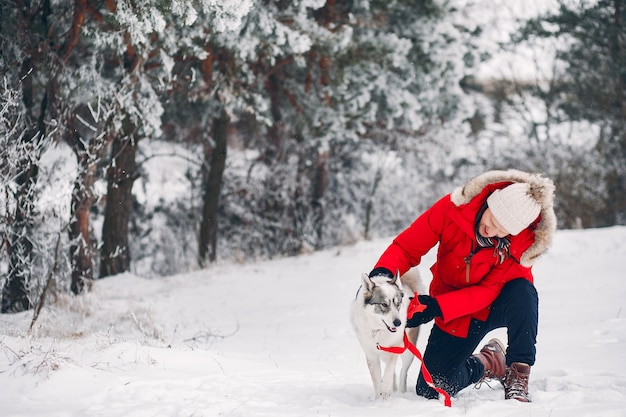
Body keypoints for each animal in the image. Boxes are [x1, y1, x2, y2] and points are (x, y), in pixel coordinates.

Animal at [348, 268, 422, 398]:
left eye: (398, 304)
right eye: (384, 304)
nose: (398, 323)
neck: (379, 330)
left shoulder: (396, 347)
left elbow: (389, 370)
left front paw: (386, 390)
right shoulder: (371, 354)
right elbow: (377, 380)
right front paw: (379, 398)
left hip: (408, 350)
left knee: (403, 372)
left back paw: (401, 392)